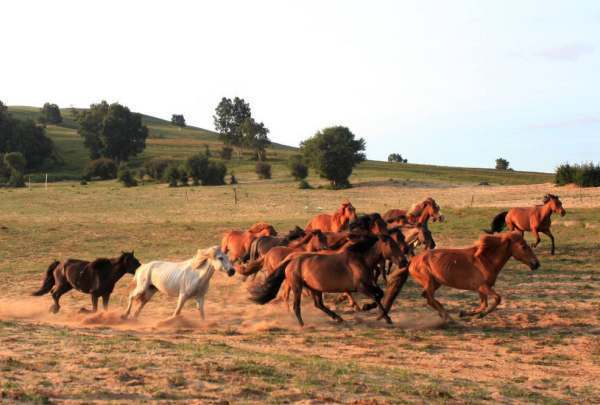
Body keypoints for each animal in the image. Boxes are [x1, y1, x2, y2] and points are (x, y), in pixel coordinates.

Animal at [250, 237, 396, 326]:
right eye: (392, 245)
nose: (402, 261)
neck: (360, 259)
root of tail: (291, 260)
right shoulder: (361, 286)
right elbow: (376, 296)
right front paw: (384, 316)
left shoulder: (366, 285)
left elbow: (380, 294)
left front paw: (370, 309)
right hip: (297, 286)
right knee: (296, 305)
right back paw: (302, 324)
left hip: (314, 288)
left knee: (318, 304)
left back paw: (337, 317)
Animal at [380, 230, 540, 322]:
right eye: (524, 246)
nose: (536, 264)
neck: (484, 260)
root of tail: (412, 260)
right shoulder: (483, 286)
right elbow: (496, 299)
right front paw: (478, 315)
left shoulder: (481, 289)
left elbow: (483, 304)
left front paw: (467, 313)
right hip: (429, 281)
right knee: (429, 297)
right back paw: (447, 317)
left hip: (436, 282)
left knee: (427, 297)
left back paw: (446, 316)